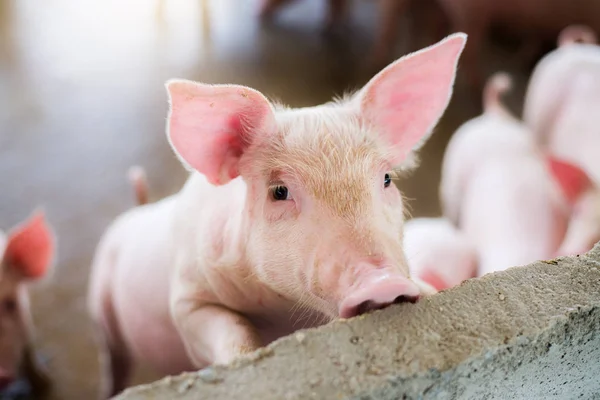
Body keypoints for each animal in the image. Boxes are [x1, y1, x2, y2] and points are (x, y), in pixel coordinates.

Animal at [86, 34, 466, 396]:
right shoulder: (186, 301)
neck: (282, 312)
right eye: (279, 192)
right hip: (102, 308)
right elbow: (232, 331)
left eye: (387, 178)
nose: (385, 283)